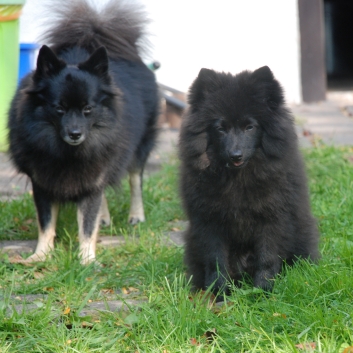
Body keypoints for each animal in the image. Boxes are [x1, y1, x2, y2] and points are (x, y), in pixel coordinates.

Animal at [8, 0, 158, 264]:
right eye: (59, 108)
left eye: (88, 109)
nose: (75, 133)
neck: (68, 153)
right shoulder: (43, 182)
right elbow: (46, 223)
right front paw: (41, 256)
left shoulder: (93, 176)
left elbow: (86, 225)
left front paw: (87, 261)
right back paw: (105, 217)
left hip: (139, 149)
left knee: (135, 179)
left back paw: (136, 216)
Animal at [179, 65, 320, 294]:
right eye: (220, 128)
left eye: (249, 127)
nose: (235, 155)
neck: (238, 178)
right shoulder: (209, 221)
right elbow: (216, 259)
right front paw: (219, 292)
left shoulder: (272, 218)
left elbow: (267, 257)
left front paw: (263, 291)